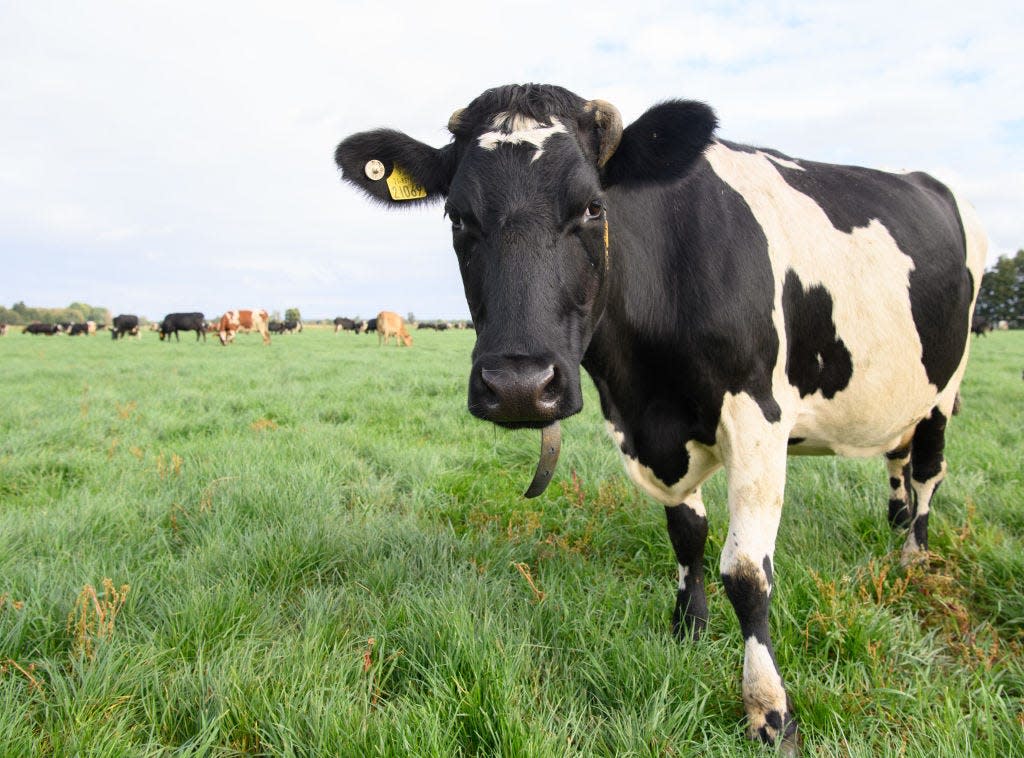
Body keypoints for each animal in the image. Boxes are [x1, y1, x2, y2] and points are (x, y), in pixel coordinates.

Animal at [333, 82, 983, 745]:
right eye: (458, 216)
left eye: (594, 207)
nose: (518, 386)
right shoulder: (649, 429)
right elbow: (686, 533)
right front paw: (688, 626)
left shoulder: (758, 416)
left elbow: (746, 573)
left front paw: (769, 707)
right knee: (898, 458)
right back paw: (895, 521)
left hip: (945, 384)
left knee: (928, 470)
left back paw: (913, 555)